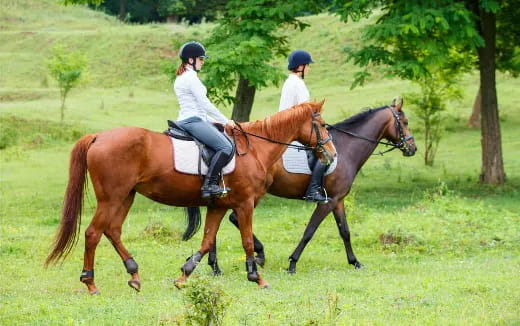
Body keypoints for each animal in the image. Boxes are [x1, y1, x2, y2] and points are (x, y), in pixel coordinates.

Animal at [45, 101, 338, 292]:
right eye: (322, 125)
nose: (332, 155)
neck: (255, 149)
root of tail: (98, 137)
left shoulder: (219, 206)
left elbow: (207, 241)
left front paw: (184, 276)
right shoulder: (244, 204)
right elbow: (246, 241)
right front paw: (257, 277)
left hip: (126, 196)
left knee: (113, 230)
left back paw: (134, 273)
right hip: (112, 198)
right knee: (93, 233)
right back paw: (90, 282)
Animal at [209, 97, 416, 276]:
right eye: (405, 122)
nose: (412, 148)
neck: (346, 149)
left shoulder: (338, 200)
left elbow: (345, 231)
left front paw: (355, 262)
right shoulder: (327, 202)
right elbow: (309, 231)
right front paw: (292, 263)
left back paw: (216, 266)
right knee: (233, 218)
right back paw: (248, 257)